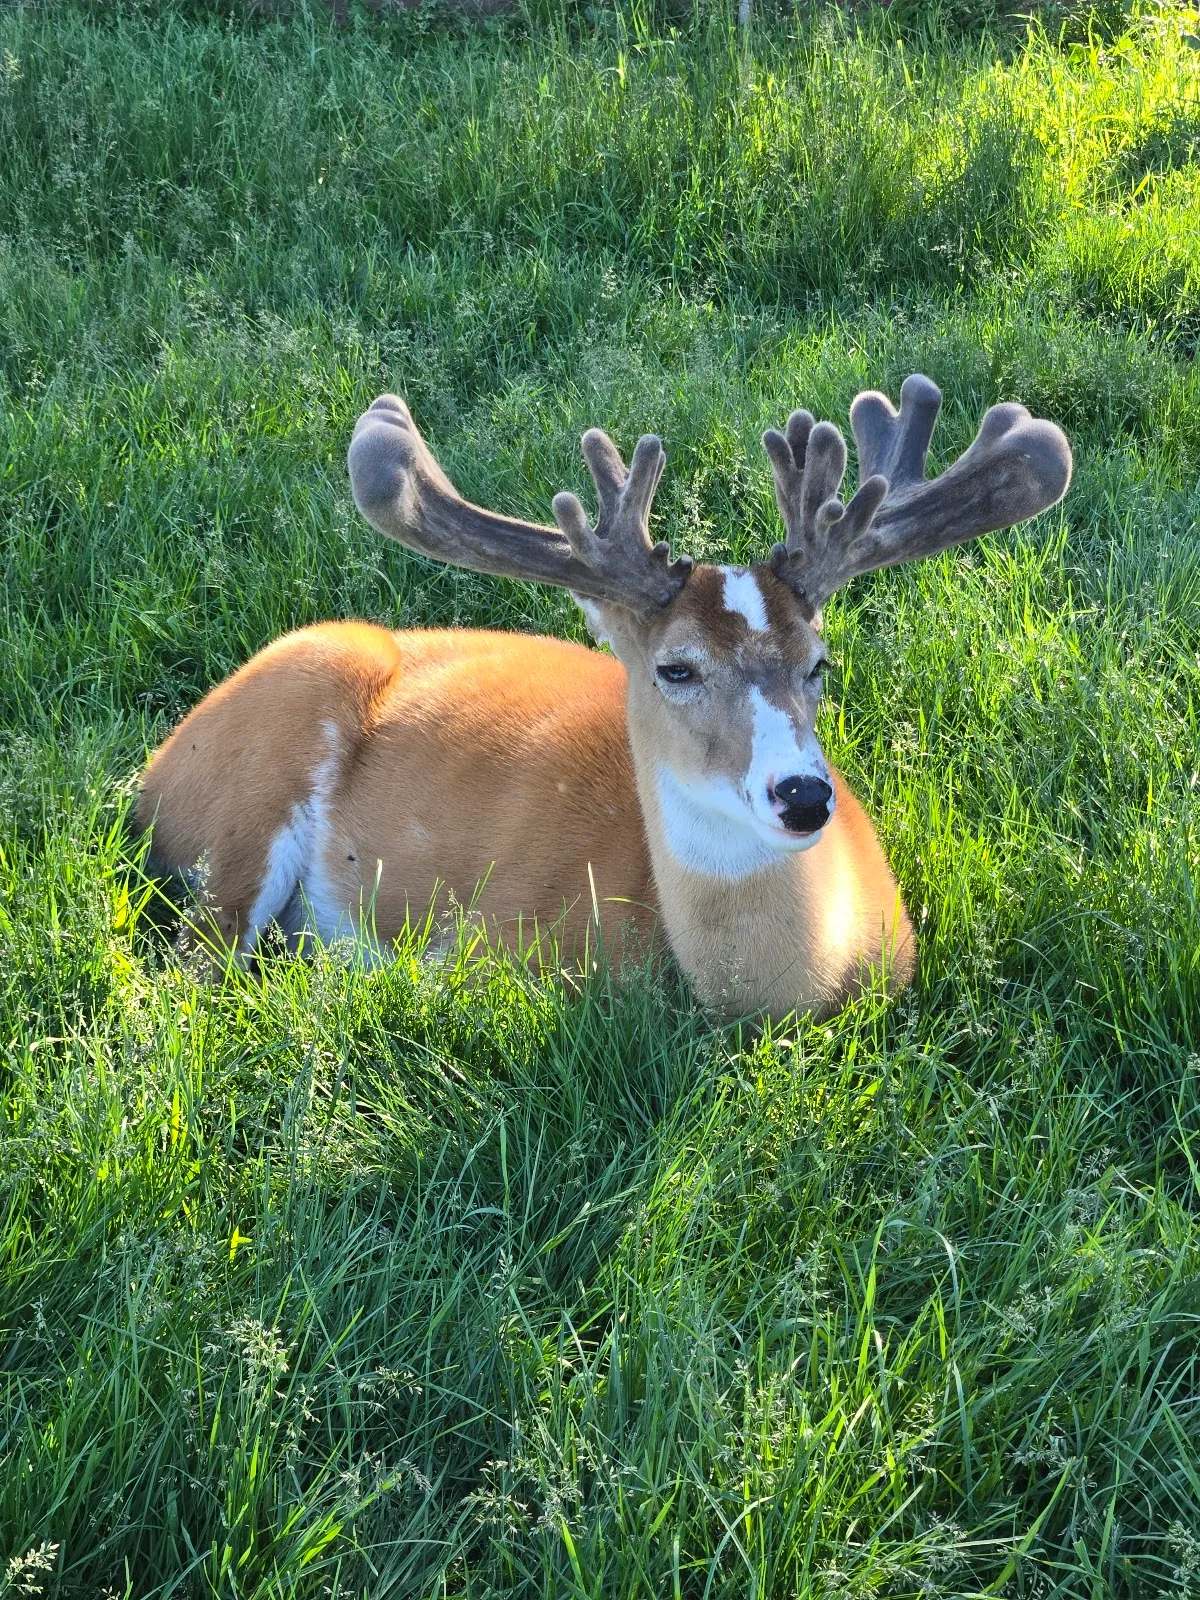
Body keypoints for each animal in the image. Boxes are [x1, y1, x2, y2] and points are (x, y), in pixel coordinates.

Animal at [136, 374, 1071, 1020]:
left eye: (820, 663)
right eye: (676, 668)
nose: (805, 794)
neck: (787, 989)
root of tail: (154, 769)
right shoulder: (493, 945)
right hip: (254, 789)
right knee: (195, 972)